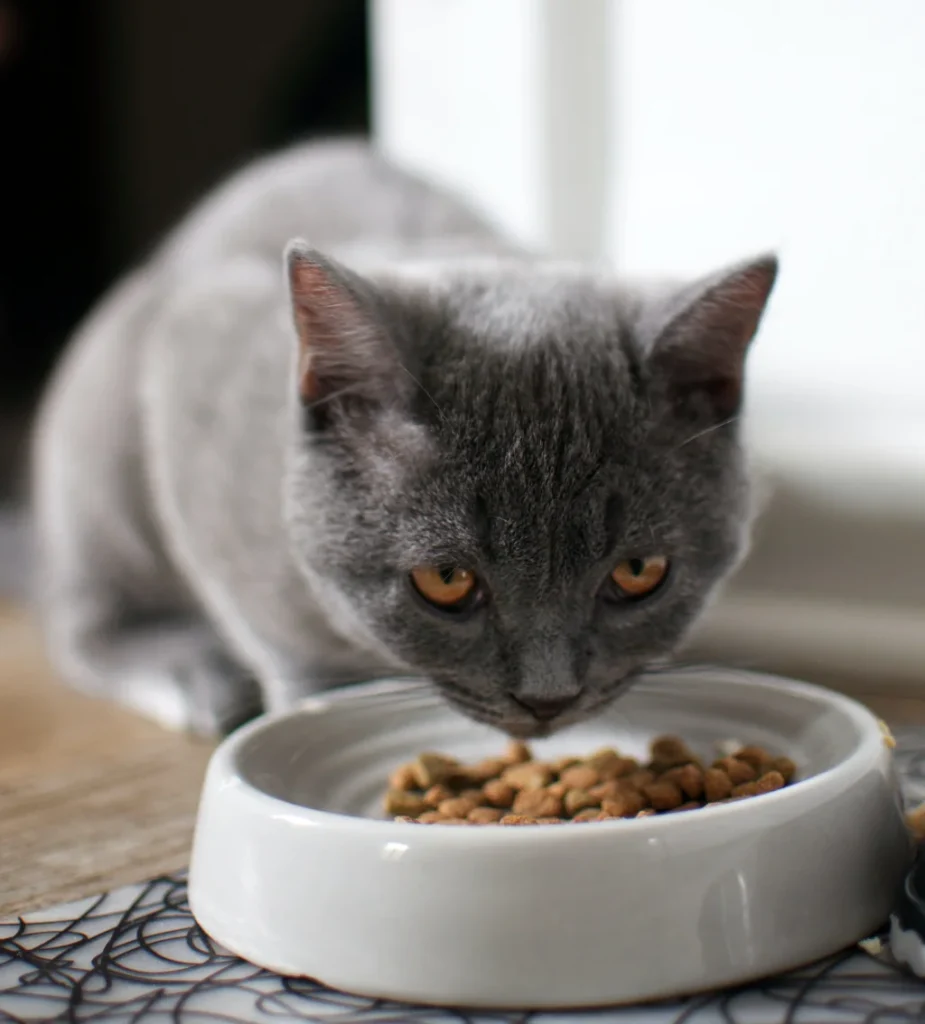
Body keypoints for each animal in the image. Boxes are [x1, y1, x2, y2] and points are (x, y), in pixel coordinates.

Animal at [32, 140, 778, 741]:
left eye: (638, 572)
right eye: (445, 581)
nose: (548, 699)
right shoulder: (194, 376)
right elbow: (276, 633)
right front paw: (311, 706)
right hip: (101, 441)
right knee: (83, 621)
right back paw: (188, 674)